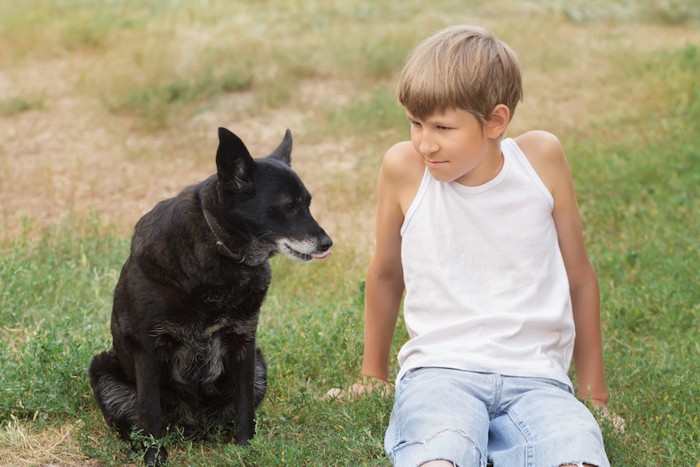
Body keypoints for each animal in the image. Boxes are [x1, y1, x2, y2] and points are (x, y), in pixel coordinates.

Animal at [89, 127, 334, 464]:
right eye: (288, 205)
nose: (327, 243)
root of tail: (192, 423)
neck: (223, 252)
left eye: (308, 203)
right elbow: (150, 414)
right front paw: (155, 457)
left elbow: (244, 409)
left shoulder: (243, 343)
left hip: (259, 365)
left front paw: (247, 449)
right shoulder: (149, 349)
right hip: (102, 371)